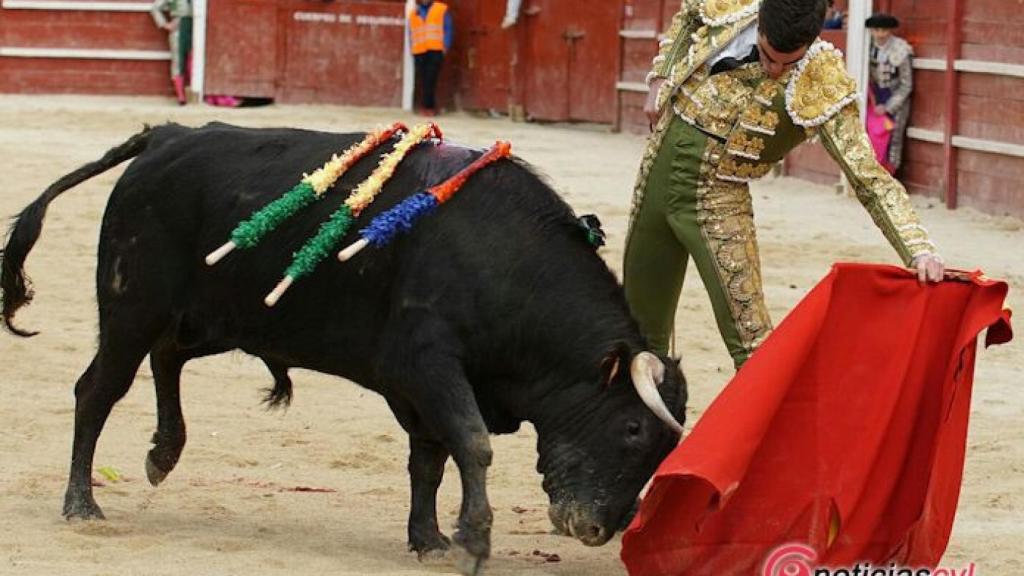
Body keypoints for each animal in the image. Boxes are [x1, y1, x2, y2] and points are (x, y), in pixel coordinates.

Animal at [2, 123, 688, 569]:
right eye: (632, 430)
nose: (598, 530)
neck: (506, 262)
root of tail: (166, 136)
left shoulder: (418, 387)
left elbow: (429, 457)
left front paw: (428, 539)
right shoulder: (429, 364)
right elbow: (471, 444)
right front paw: (473, 538)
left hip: (212, 318)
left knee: (167, 358)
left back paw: (162, 455)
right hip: (132, 308)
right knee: (98, 389)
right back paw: (82, 504)